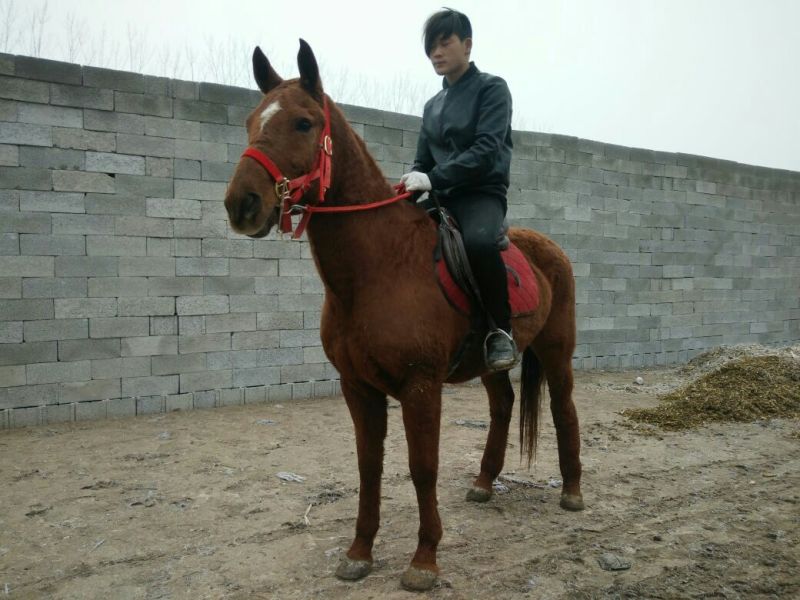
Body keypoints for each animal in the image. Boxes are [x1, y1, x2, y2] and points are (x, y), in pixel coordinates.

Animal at [224, 40, 583, 592]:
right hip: (489, 364)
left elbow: (422, 466)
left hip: (557, 351)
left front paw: (424, 560)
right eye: (249, 121)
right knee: (502, 405)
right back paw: (484, 482)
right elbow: (369, 466)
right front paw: (359, 553)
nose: (241, 204)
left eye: (304, 123)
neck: (378, 269)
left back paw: (572, 491)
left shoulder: (420, 386)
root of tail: (549, 247)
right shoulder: (357, 387)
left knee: (564, 408)